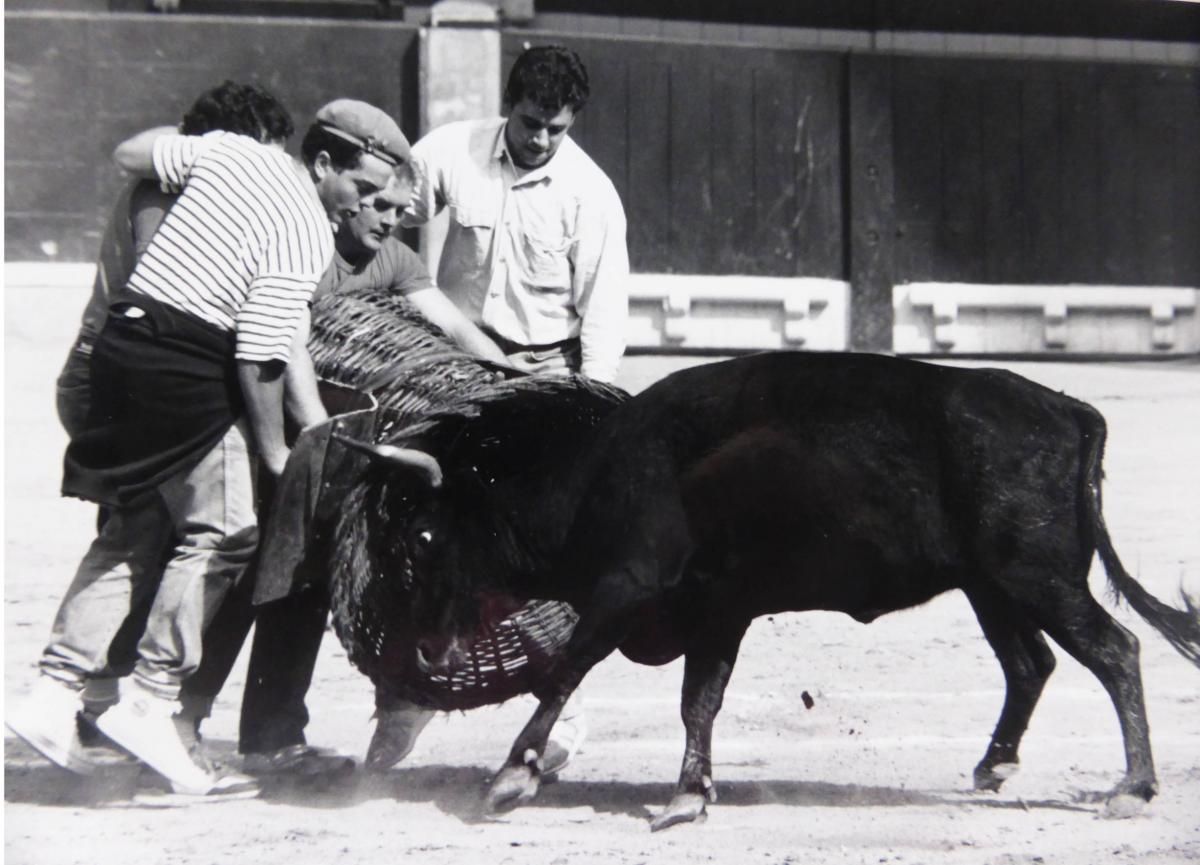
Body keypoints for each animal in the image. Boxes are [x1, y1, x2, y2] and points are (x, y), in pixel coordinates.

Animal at [355, 350, 1200, 830]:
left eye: (423, 537)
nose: (425, 650)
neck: (601, 468)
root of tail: (1069, 407)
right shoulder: (716, 611)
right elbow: (699, 699)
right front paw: (689, 793)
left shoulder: (628, 586)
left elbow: (568, 668)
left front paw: (512, 775)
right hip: (992, 587)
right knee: (1031, 664)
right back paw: (995, 765)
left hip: (1037, 577)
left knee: (1115, 650)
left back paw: (1134, 785)